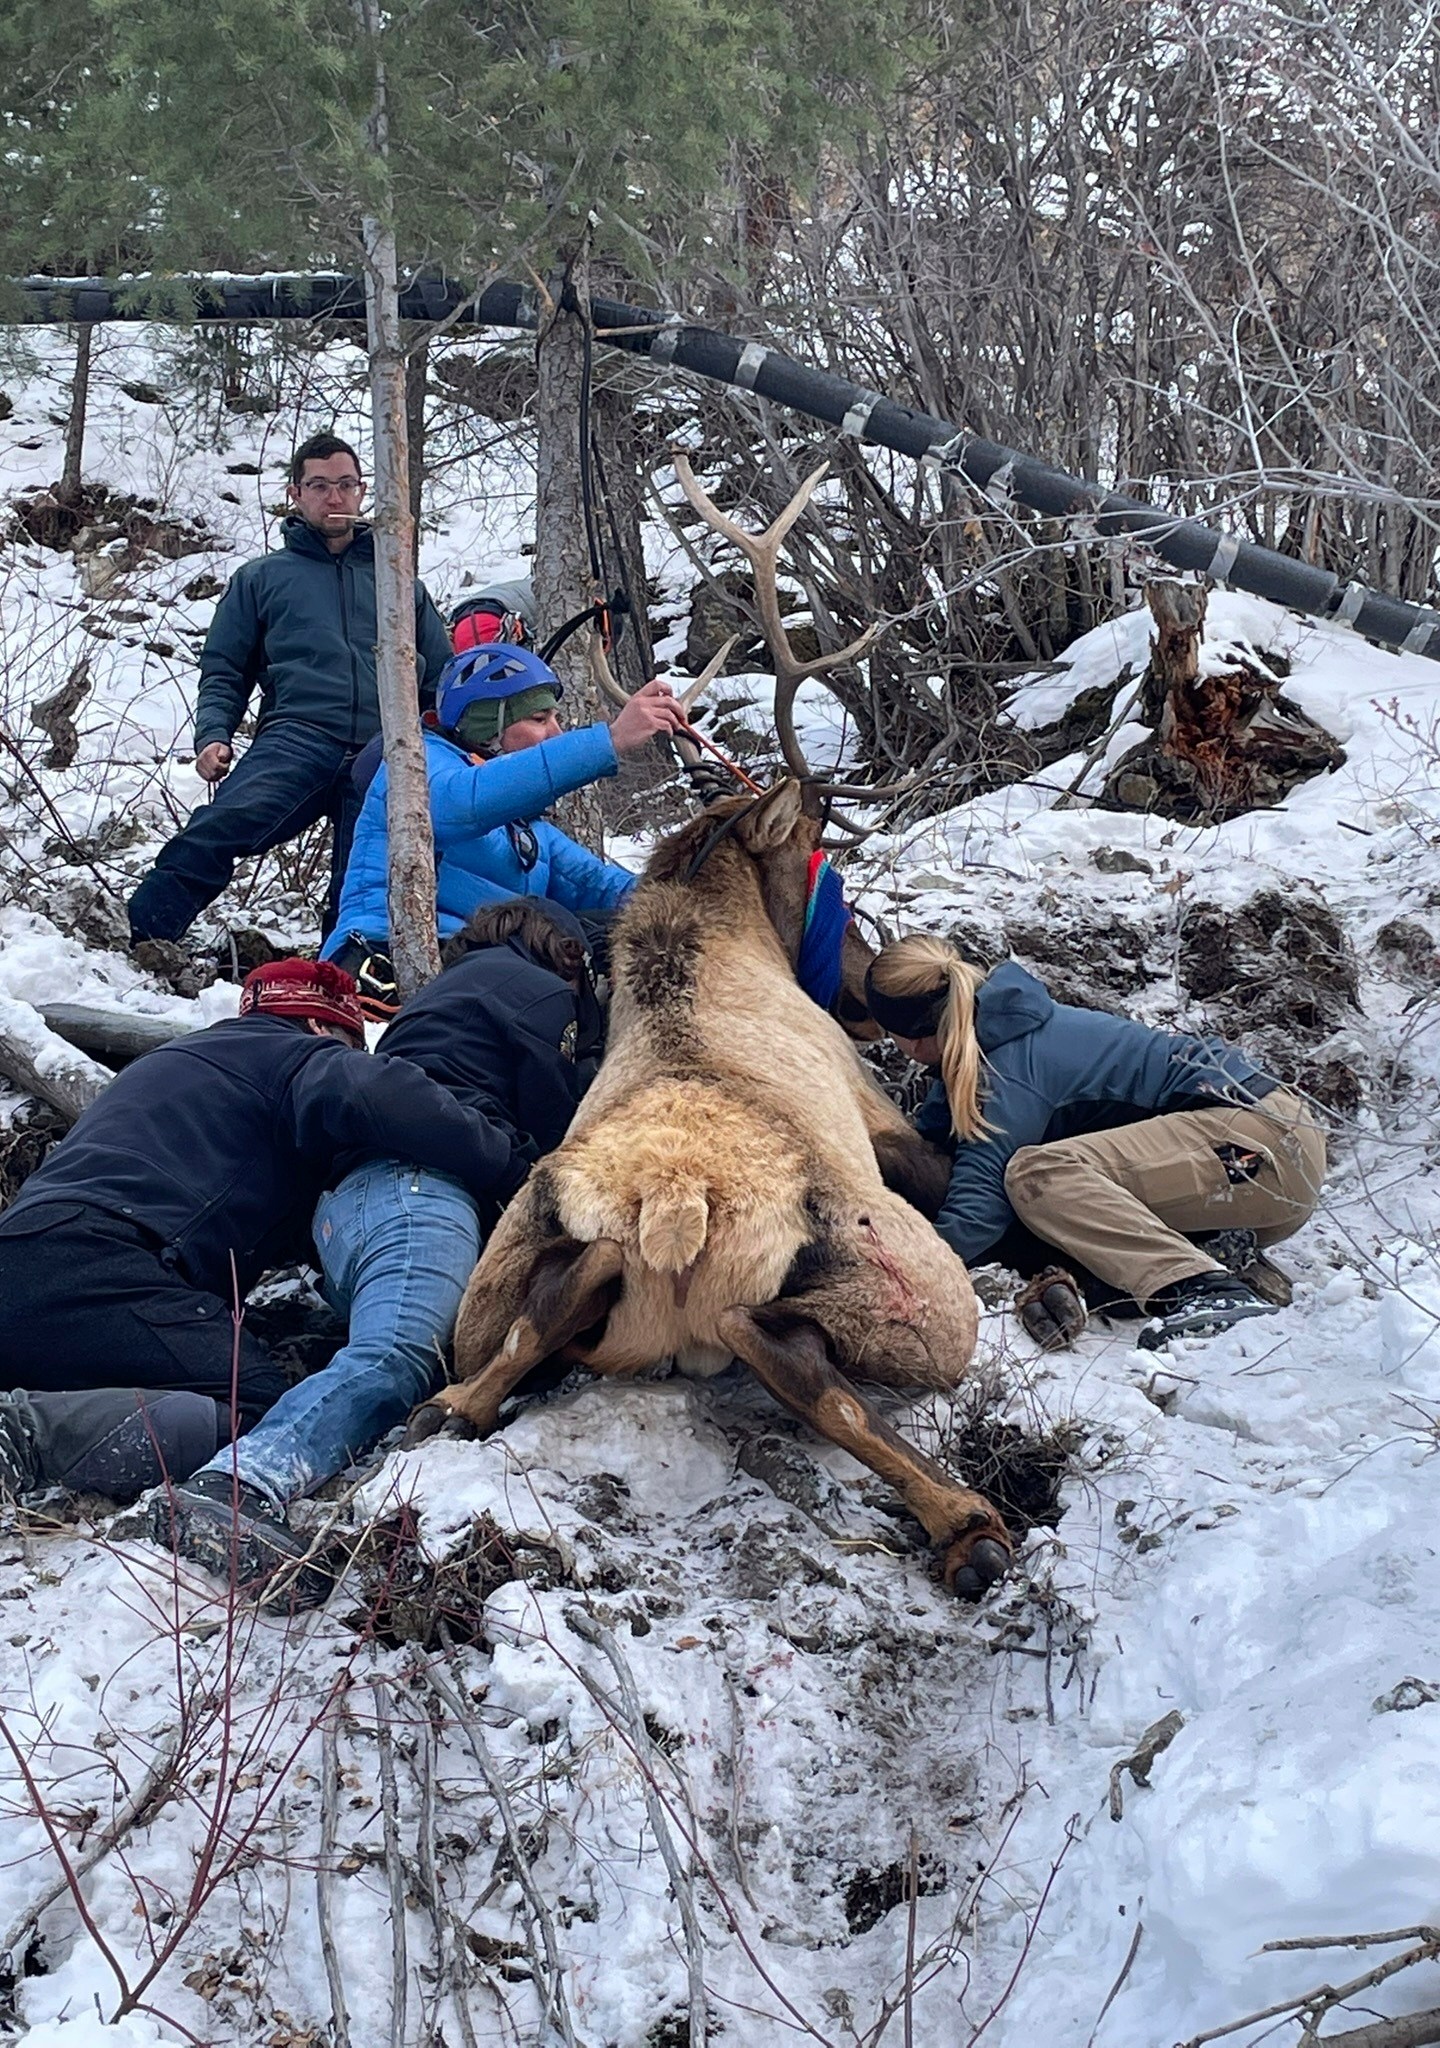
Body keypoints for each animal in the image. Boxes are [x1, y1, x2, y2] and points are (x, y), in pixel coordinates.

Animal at [405, 456, 1015, 1589]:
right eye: (822, 852)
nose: (860, 985)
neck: (706, 939)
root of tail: (672, 1205)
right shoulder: (884, 1122)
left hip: (486, 1294)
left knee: (487, 1369)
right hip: (925, 1292)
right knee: (801, 1360)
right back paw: (968, 1525)